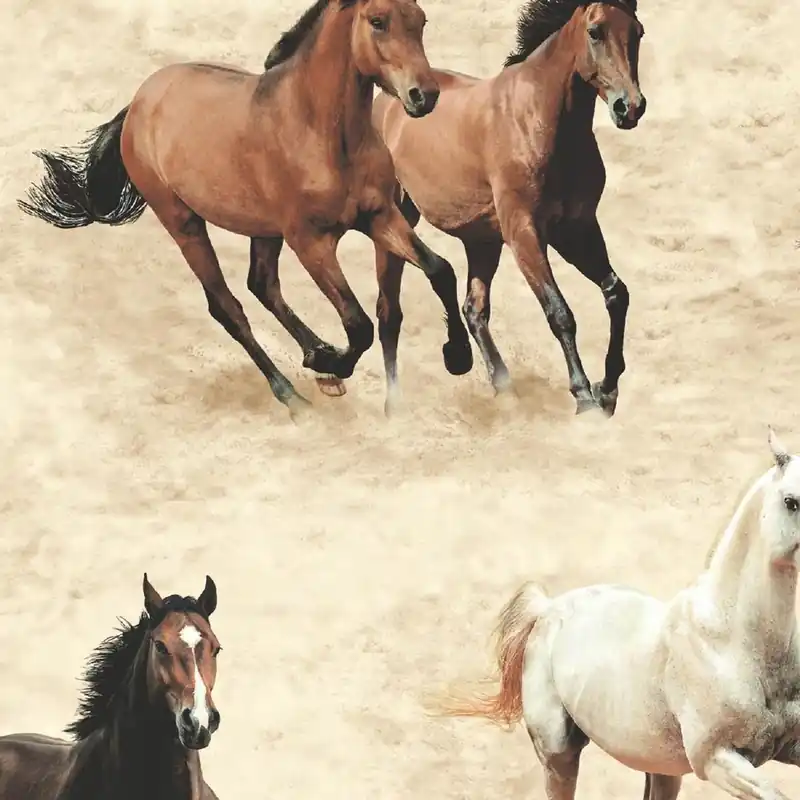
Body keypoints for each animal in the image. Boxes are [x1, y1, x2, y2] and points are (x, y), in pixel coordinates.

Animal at [17, 0, 473, 416]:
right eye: (377, 21)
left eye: (421, 20)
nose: (424, 96)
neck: (321, 131)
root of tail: (137, 105)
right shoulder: (311, 241)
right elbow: (357, 324)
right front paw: (329, 363)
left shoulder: (379, 216)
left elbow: (440, 270)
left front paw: (458, 357)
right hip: (184, 223)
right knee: (228, 307)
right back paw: (293, 392)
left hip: (264, 229)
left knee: (262, 284)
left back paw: (316, 357)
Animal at [371, 0, 645, 417]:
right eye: (595, 31)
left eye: (638, 32)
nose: (629, 108)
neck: (539, 120)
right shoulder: (524, 233)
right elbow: (559, 312)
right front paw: (584, 397)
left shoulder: (577, 229)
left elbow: (617, 293)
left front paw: (608, 390)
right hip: (398, 221)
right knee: (389, 312)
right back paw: (396, 404)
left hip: (482, 241)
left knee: (473, 309)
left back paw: (503, 388)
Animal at [429, 429, 800, 800]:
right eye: (791, 501)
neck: (732, 640)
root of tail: (548, 609)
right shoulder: (715, 759)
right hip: (559, 754)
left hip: (662, 767)